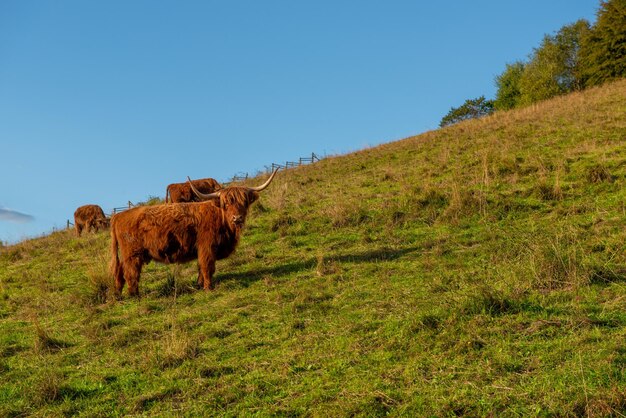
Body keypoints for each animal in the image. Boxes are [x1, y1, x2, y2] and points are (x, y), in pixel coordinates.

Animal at [110, 168, 278, 296]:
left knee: (119, 272)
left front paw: (199, 284)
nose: (237, 218)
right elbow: (207, 266)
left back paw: (118, 295)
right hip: (133, 254)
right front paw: (208, 288)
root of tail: (118, 216)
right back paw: (134, 295)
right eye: (226, 204)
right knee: (131, 273)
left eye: (244, 202)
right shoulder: (207, 247)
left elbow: (201, 268)